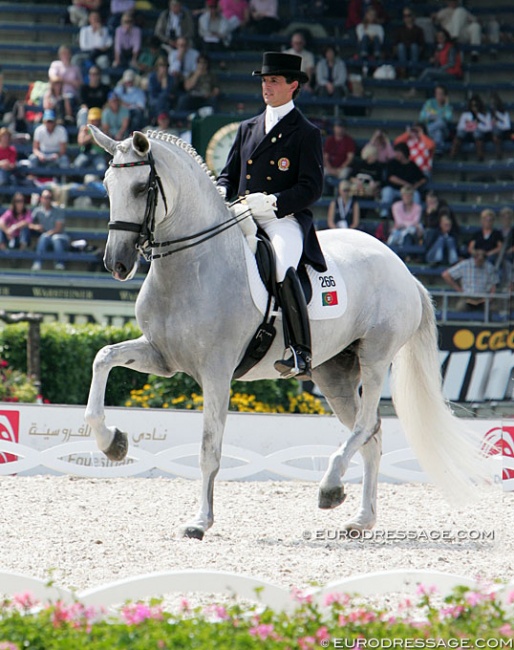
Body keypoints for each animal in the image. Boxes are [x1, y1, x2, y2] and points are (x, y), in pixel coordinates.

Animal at [85, 125, 488, 536]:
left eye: (140, 188)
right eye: (106, 185)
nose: (117, 264)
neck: (194, 264)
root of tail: (403, 268)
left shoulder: (216, 372)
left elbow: (209, 449)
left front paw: (199, 522)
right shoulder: (161, 357)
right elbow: (103, 359)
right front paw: (112, 442)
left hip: (375, 357)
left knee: (366, 425)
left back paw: (330, 486)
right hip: (334, 373)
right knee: (371, 436)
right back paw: (361, 519)